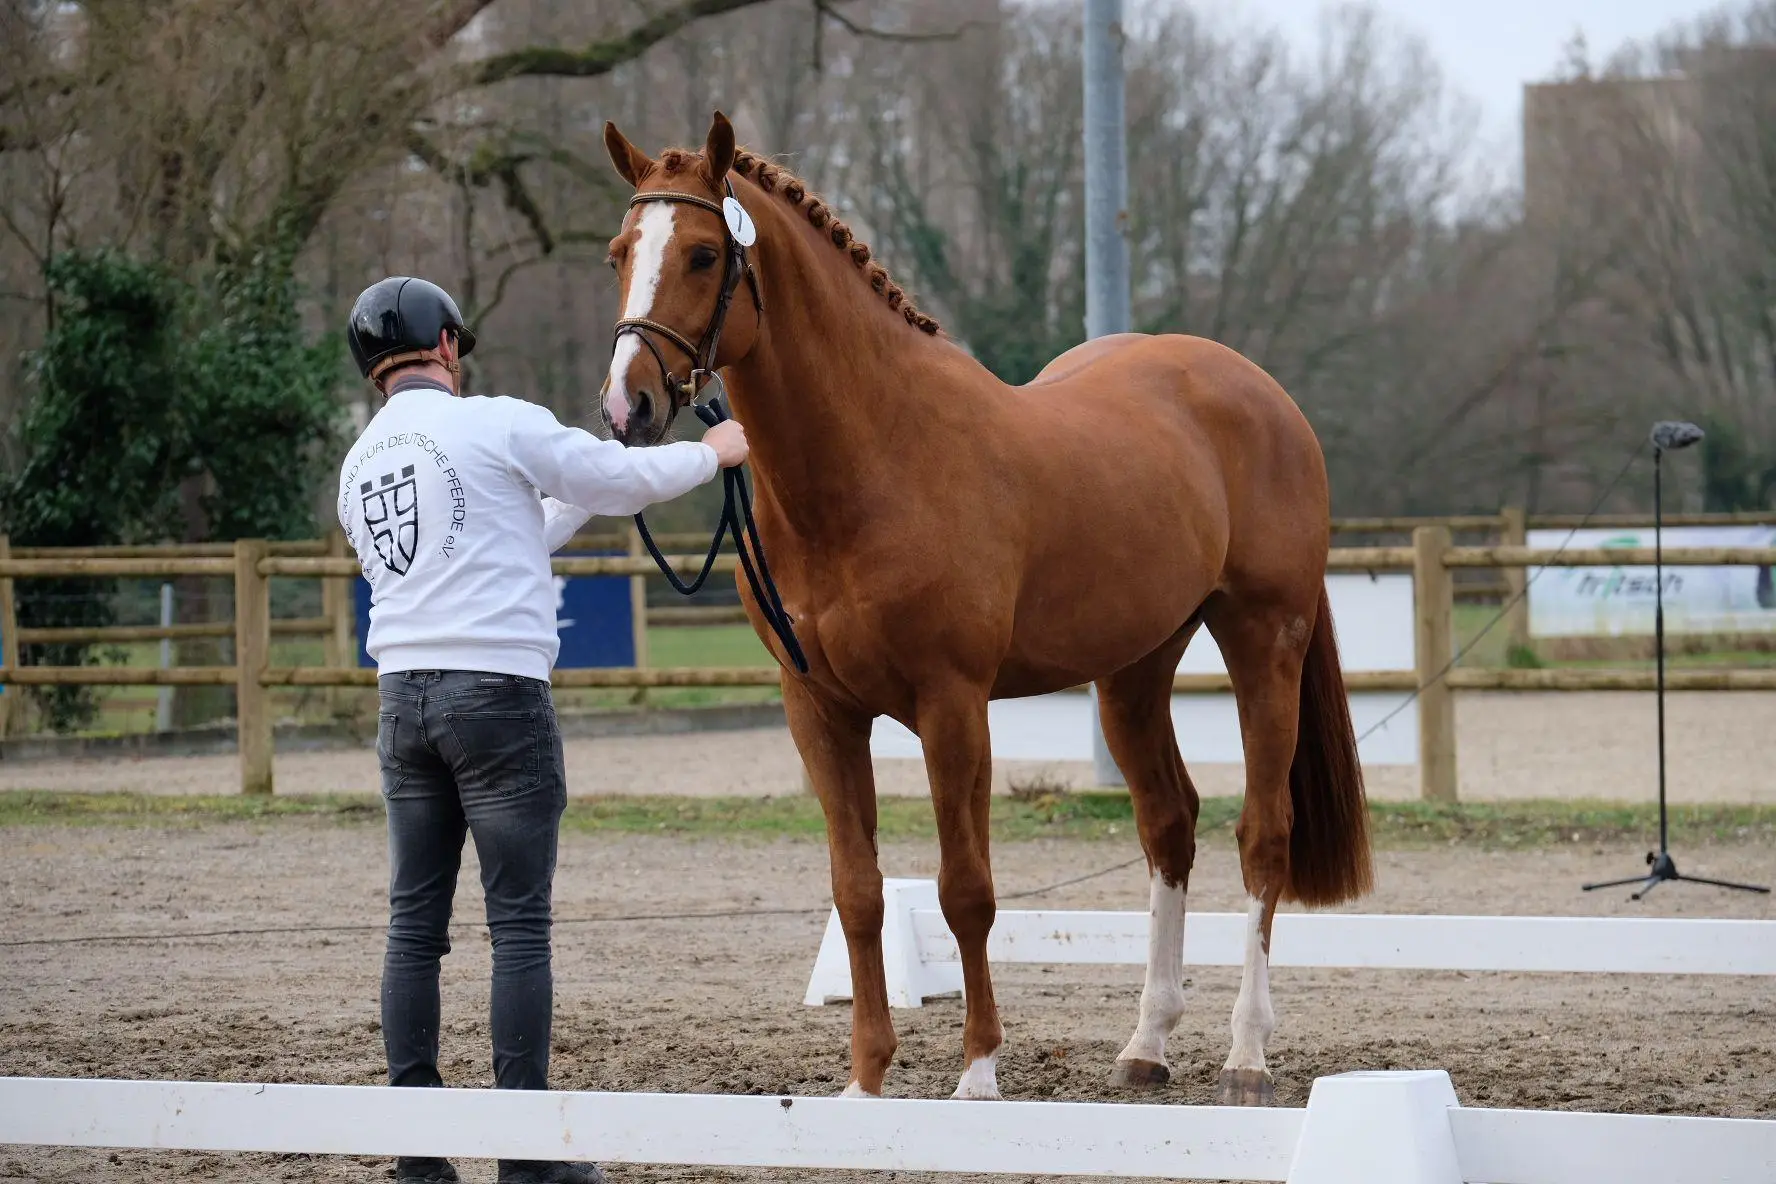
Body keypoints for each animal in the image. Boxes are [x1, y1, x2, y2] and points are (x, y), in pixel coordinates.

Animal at [597, 111, 1373, 1107]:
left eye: (700, 255)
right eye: (621, 252)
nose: (628, 405)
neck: (877, 460)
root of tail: (1261, 393)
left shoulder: (952, 705)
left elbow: (966, 888)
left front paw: (976, 1077)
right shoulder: (819, 711)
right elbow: (859, 891)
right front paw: (865, 1083)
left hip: (1263, 641)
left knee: (1262, 837)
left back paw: (1246, 1054)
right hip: (1133, 671)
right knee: (1169, 826)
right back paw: (1147, 1043)